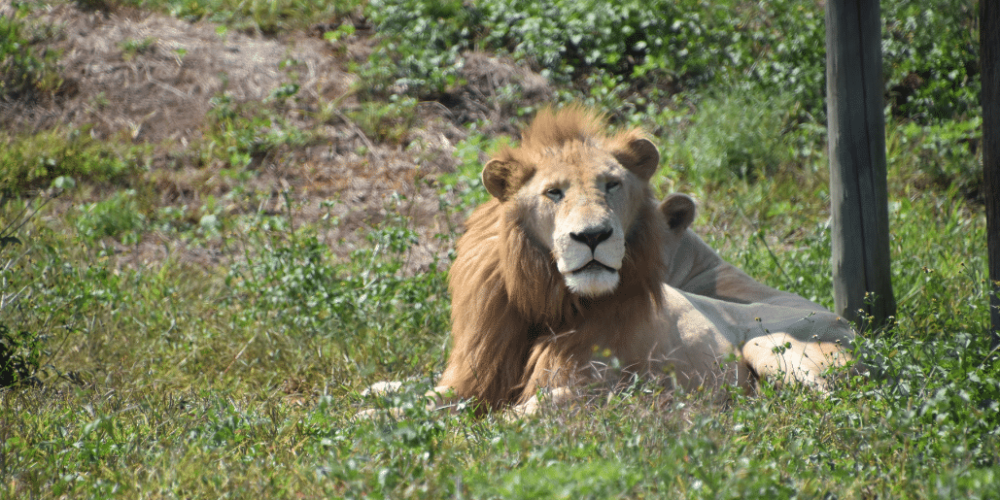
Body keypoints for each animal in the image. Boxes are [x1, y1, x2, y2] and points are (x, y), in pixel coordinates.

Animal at [420, 106, 855, 414]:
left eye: (611, 185)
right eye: (554, 193)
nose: (593, 235)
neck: (546, 297)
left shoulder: (609, 384)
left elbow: (535, 408)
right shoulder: (473, 374)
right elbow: (417, 399)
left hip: (768, 345)